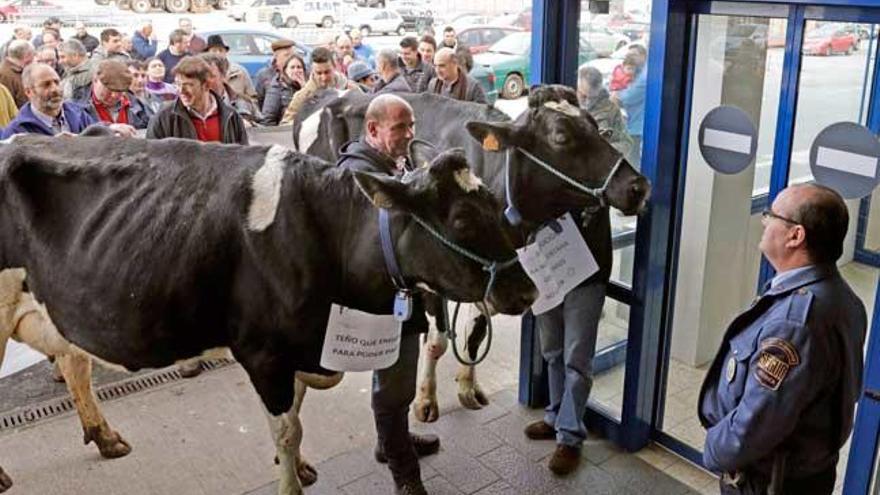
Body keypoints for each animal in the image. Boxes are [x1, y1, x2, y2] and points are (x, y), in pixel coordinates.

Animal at [0, 135, 536, 495]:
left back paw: (106, 437)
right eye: (461, 219)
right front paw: (291, 480)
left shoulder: (299, 349)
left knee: (74, 362)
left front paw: (297, 467)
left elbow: (296, 416)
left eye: (495, 203)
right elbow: (286, 428)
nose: (527, 291)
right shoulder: (264, 352)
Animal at [296, 84, 652, 422]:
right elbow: (438, 341)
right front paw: (426, 400)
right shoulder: (433, 270)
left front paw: (468, 387)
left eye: (597, 127)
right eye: (561, 136)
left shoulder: (495, 271)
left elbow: (476, 333)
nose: (638, 186)